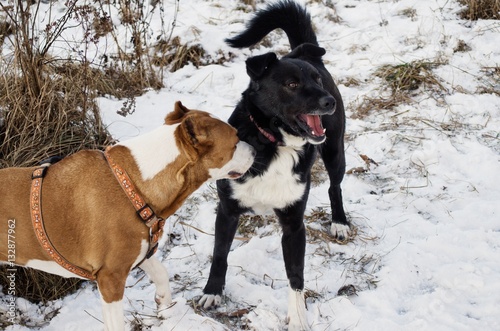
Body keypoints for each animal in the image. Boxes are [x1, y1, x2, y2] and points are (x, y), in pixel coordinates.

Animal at [0, 102, 256, 331]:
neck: (133, 184)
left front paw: (164, 307)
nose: (255, 150)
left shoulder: (140, 251)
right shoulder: (110, 278)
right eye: (235, 141)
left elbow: (161, 273)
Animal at [197, 1, 350, 330]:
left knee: (335, 187)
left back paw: (340, 222)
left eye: (316, 80)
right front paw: (212, 292)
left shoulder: (293, 224)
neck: (275, 143)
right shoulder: (227, 209)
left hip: (335, 150)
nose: (328, 101)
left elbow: (296, 276)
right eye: (292, 84)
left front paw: (299, 318)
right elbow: (219, 254)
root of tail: (302, 51)